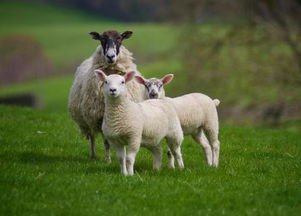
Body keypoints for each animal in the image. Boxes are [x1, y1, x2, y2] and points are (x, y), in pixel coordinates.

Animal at [67, 30, 145, 162]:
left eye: (119, 39)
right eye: (102, 39)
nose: (110, 56)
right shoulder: (99, 117)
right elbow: (106, 142)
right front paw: (108, 160)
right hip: (88, 118)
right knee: (92, 137)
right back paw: (93, 155)